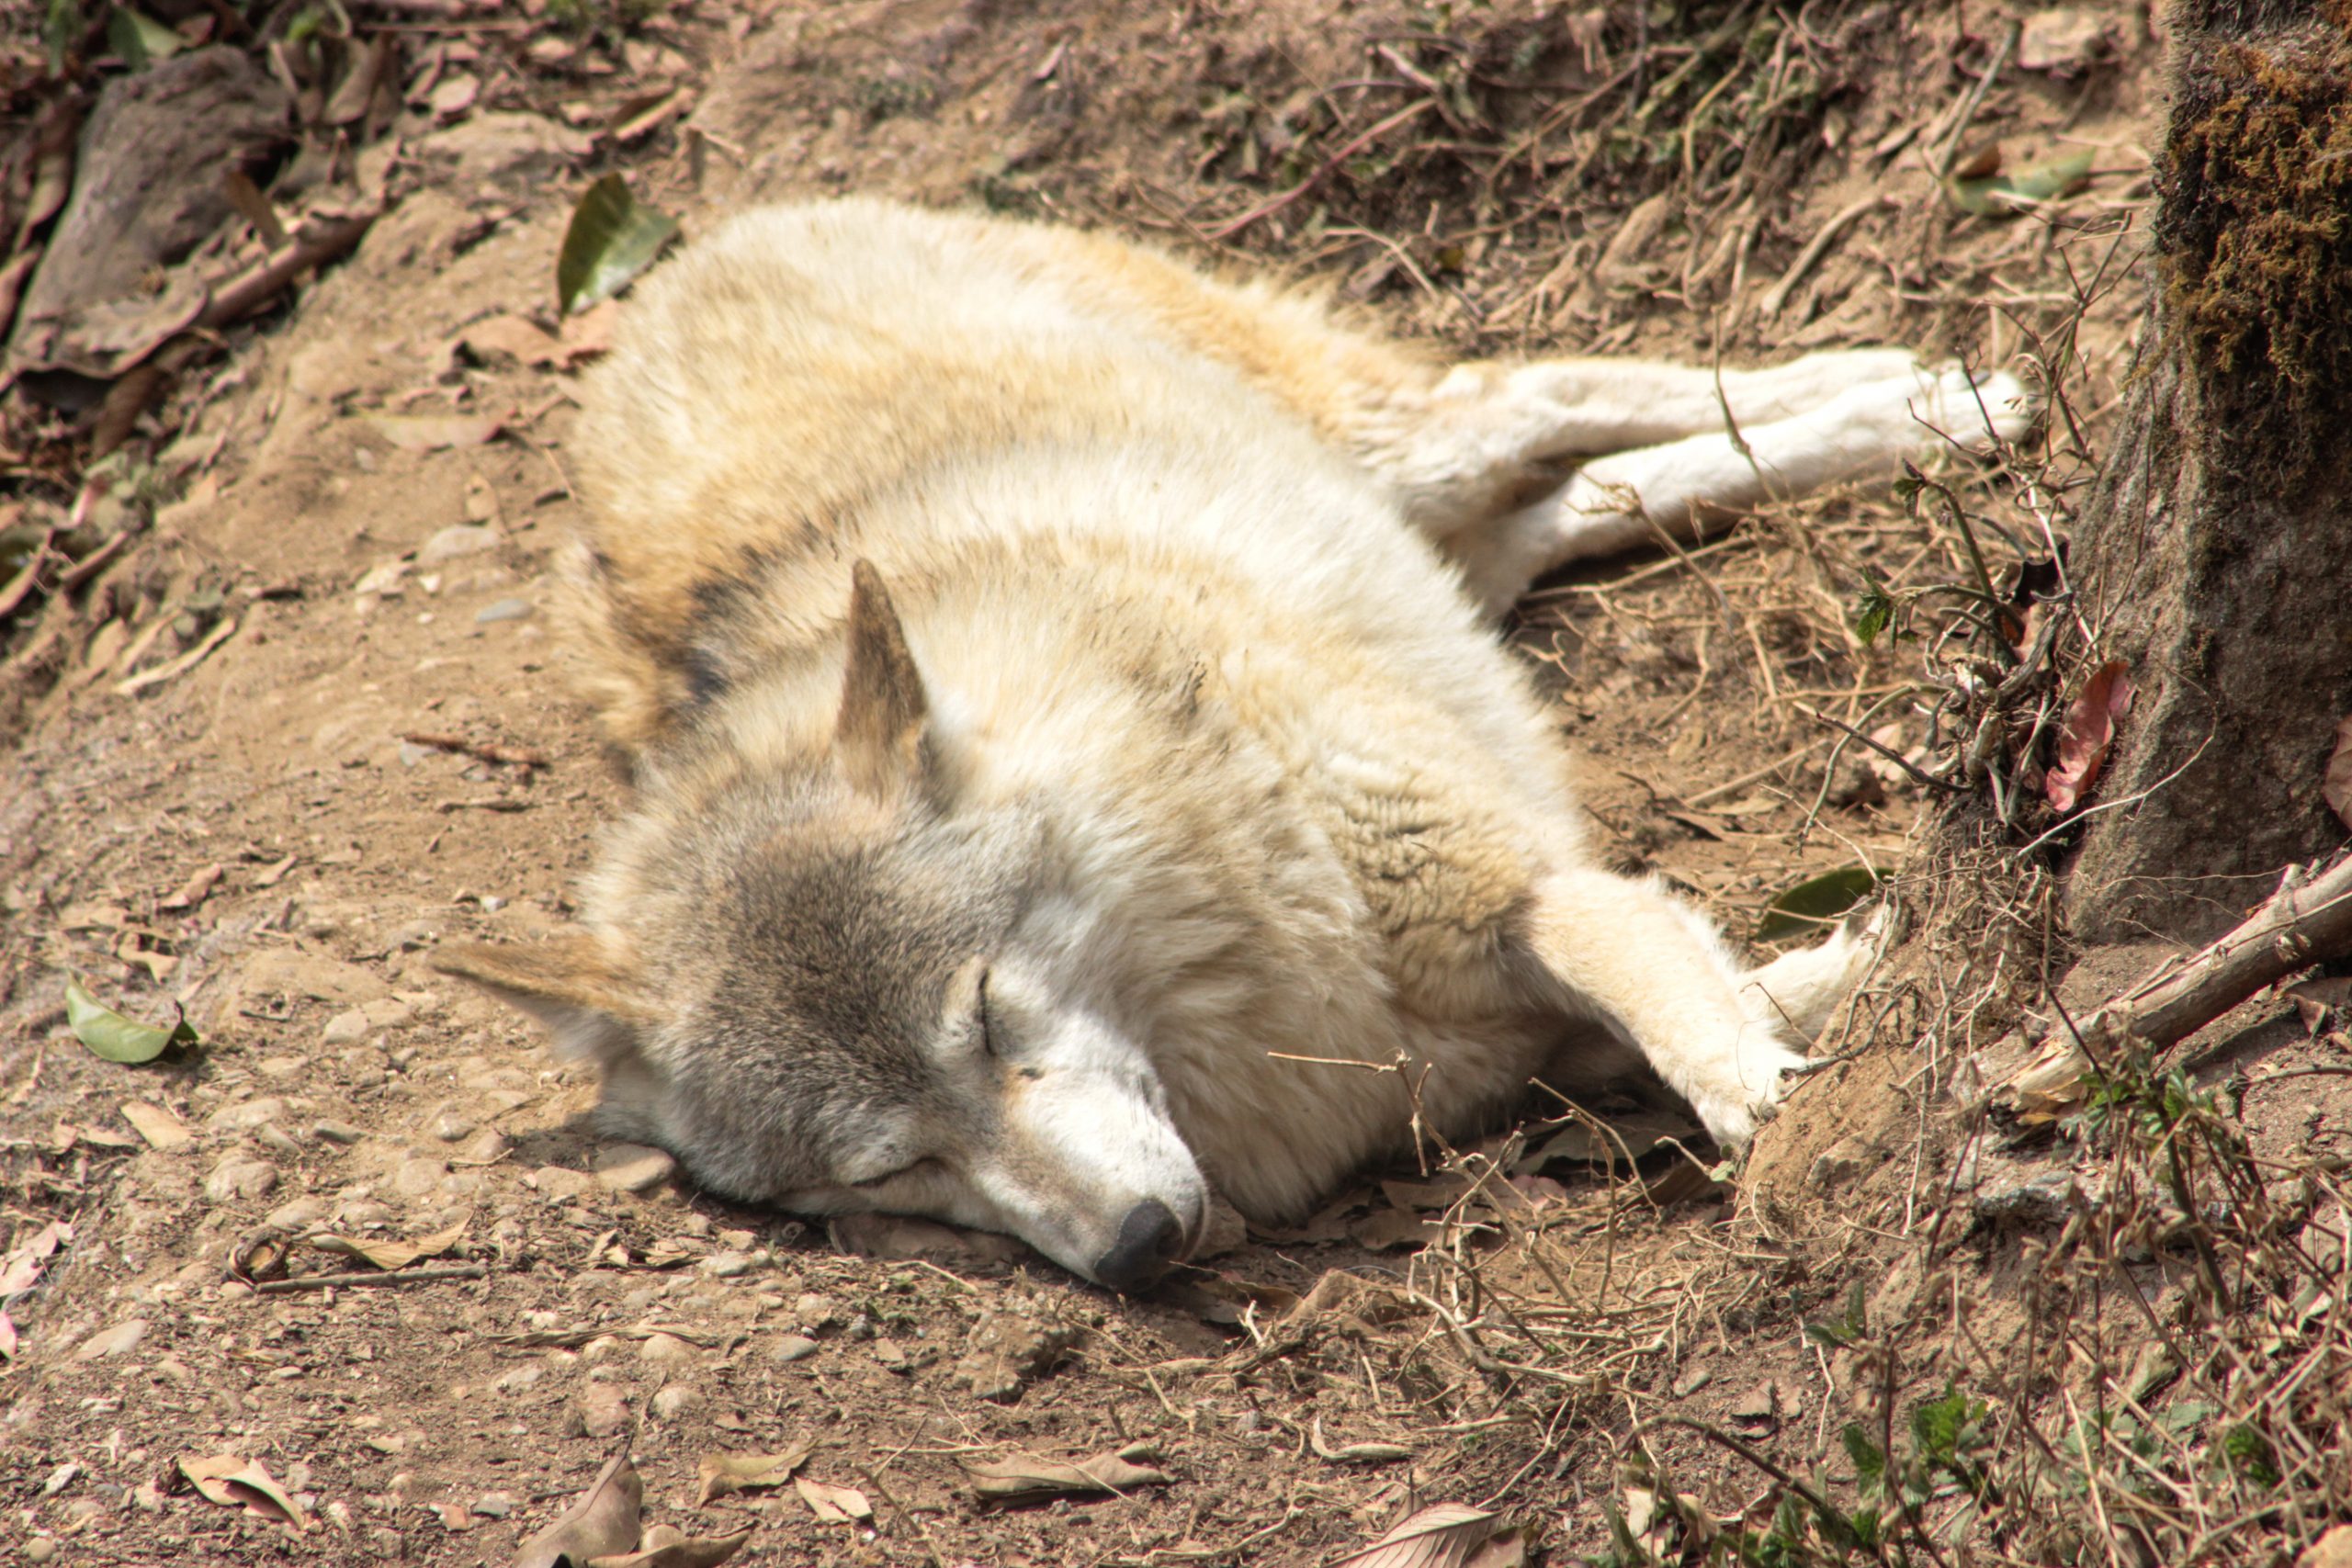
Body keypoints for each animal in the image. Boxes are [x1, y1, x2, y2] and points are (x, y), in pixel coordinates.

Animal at [433, 202, 2031, 1297]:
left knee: (1570, 392)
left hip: (1403, 442)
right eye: (892, 1168)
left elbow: (1664, 976)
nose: (1137, 1250)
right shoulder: (1499, 1026)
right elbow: (1701, 969)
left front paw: (1774, 1081)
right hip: (1444, 536)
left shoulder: (1511, 889)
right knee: (1580, 493)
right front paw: (1858, 972)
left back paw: (1931, 400)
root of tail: (687, 260)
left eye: (991, 1019)